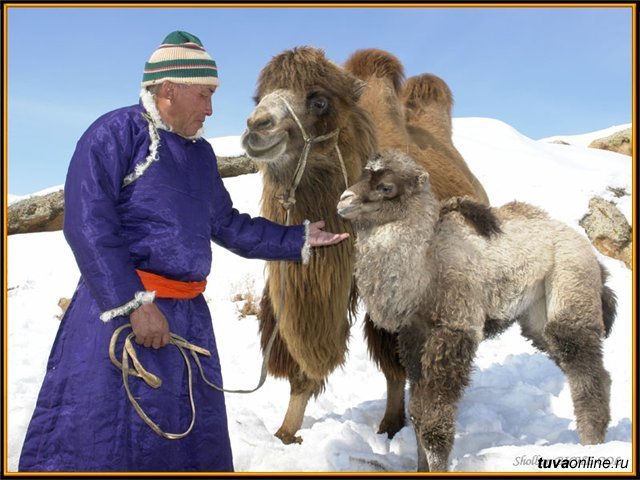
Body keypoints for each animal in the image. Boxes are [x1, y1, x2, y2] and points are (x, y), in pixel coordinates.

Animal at [338, 148, 616, 470]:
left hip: (570, 285)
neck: (426, 266)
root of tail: (591, 254)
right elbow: (418, 409)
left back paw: (592, 447)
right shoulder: (414, 335)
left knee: (584, 372)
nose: (344, 200)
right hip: (537, 316)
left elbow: (433, 416)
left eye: (386, 187)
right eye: (362, 173)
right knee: (588, 369)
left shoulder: (455, 329)